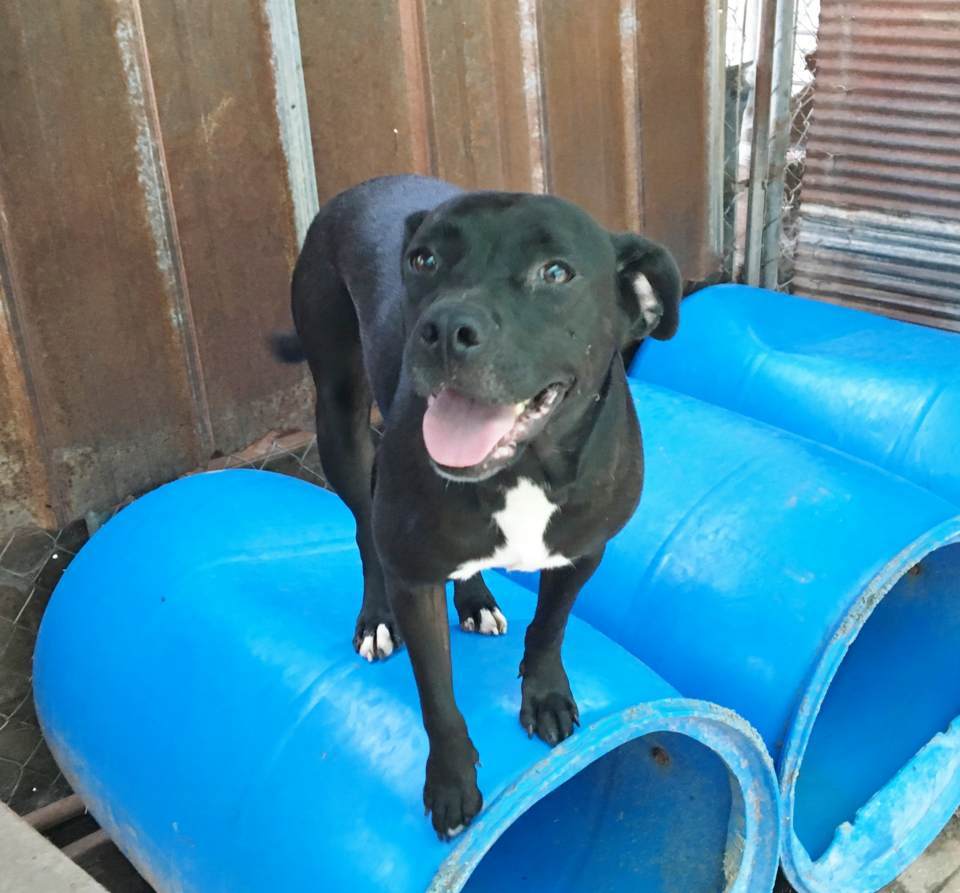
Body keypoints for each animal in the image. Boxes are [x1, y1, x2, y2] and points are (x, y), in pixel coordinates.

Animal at [274, 174, 684, 836]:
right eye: (423, 261)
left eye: (556, 272)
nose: (443, 329)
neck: (524, 470)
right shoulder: (414, 577)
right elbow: (437, 695)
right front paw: (450, 782)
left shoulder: (583, 552)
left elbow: (550, 628)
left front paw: (546, 697)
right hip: (338, 415)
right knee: (364, 527)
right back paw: (376, 617)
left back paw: (475, 600)